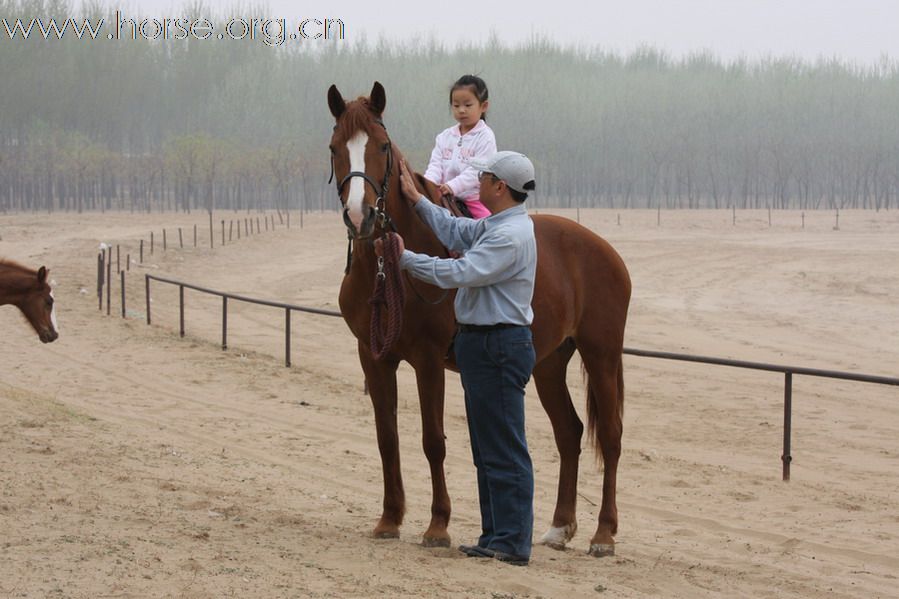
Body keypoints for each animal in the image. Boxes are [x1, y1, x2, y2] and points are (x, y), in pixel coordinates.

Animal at [326, 81, 628, 556]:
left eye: (382, 146)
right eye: (336, 147)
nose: (361, 216)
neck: (387, 270)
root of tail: (604, 249)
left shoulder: (429, 360)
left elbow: (433, 441)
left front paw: (437, 526)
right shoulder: (373, 357)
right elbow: (386, 439)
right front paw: (389, 519)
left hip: (601, 355)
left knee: (611, 438)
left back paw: (603, 535)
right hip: (549, 364)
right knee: (569, 433)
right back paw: (560, 528)